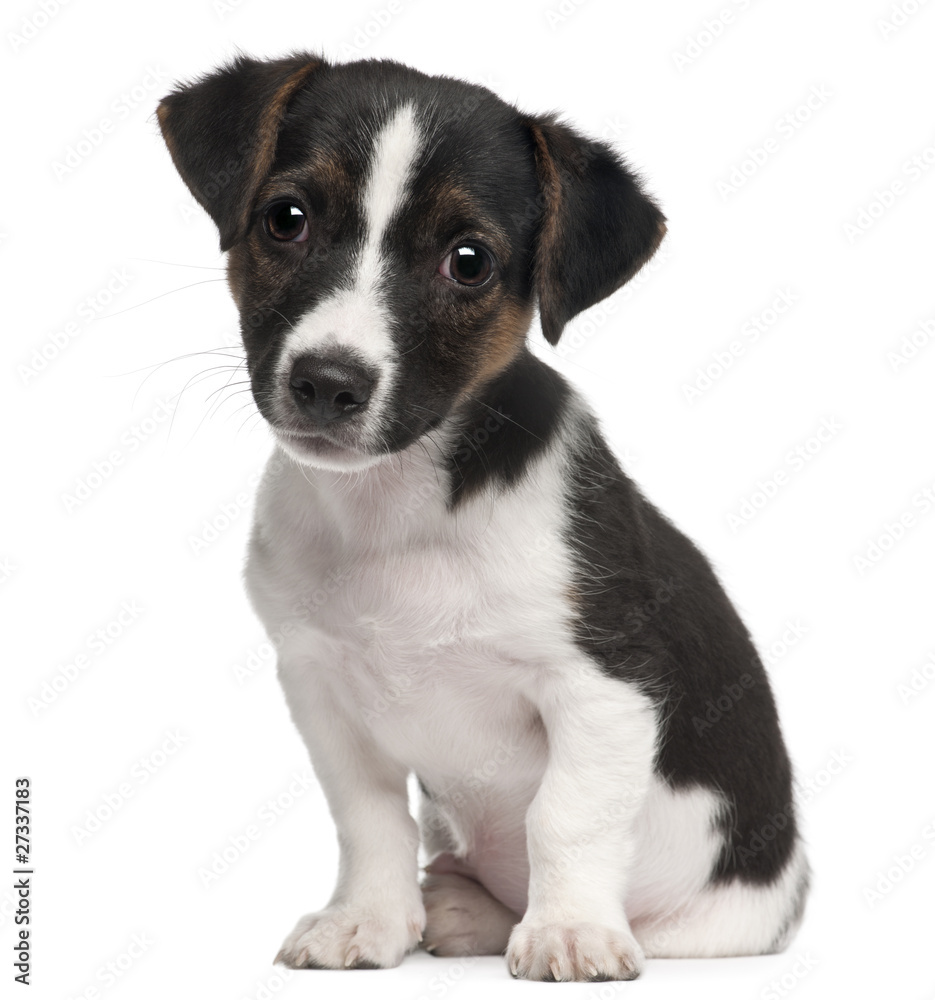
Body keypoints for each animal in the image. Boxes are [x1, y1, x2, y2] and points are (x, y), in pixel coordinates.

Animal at [157, 50, 808, 980]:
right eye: (286, 219)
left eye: (468, 262)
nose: (326, 382)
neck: (397, 505)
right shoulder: (319, 686)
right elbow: (368, 819)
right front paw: (366, 918)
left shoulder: (602, 684)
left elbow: (564, 816)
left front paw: (568, 930)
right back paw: (462, 907)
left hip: (720, 925)